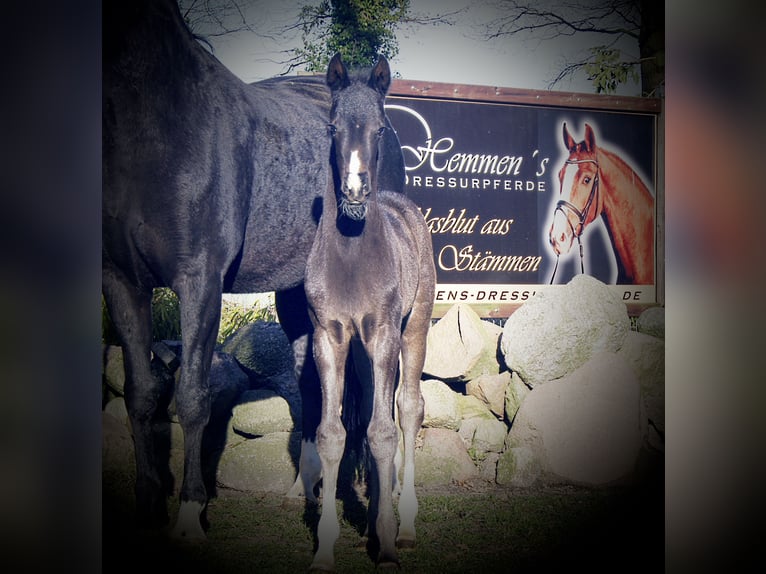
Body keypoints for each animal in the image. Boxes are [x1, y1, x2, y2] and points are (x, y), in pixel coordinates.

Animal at [306, 54, 438, 572]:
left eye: (381, 129)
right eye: (332, 127)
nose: (356, 189)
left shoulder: (383, 334)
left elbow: (384, 433)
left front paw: (385, 544)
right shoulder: (329, 337)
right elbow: (332, 434)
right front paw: (324, 549)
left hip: (414, 329)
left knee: (407, 407)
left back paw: (405, 525)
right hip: (363, 352)